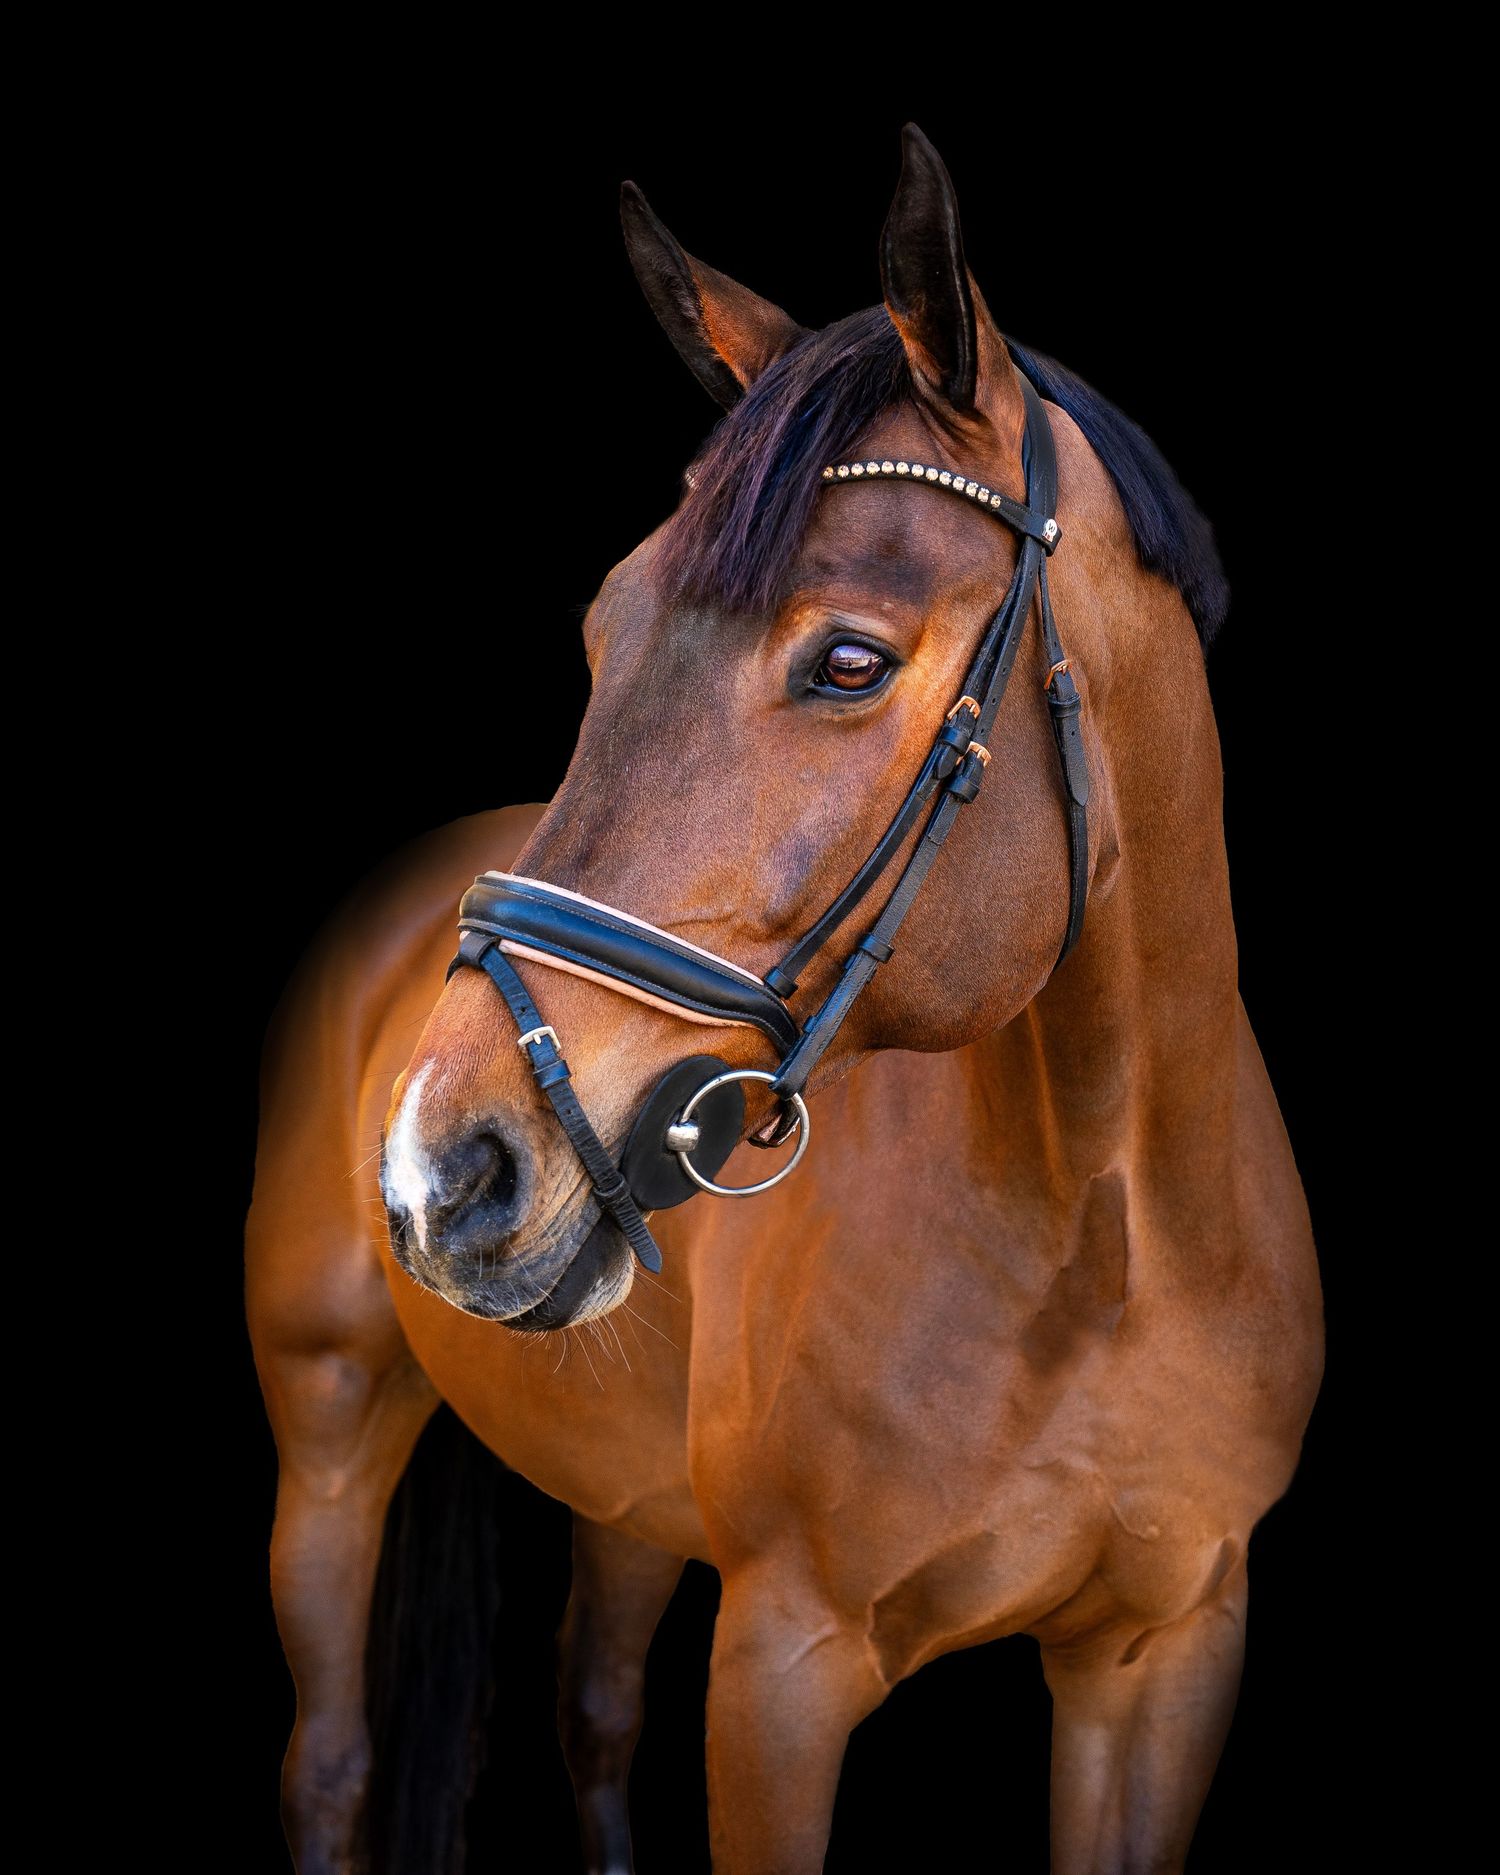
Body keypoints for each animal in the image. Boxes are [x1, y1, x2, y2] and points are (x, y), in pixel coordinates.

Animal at [245, 123, 1324, 1874]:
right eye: (606, 627)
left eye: (848, 661)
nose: (441, 1169)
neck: (1107, 1230)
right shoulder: (784, 1661)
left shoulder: (1165, 1656)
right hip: (330, 1423)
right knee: (331, 1760)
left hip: (626, 1497)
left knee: (593, 1714)